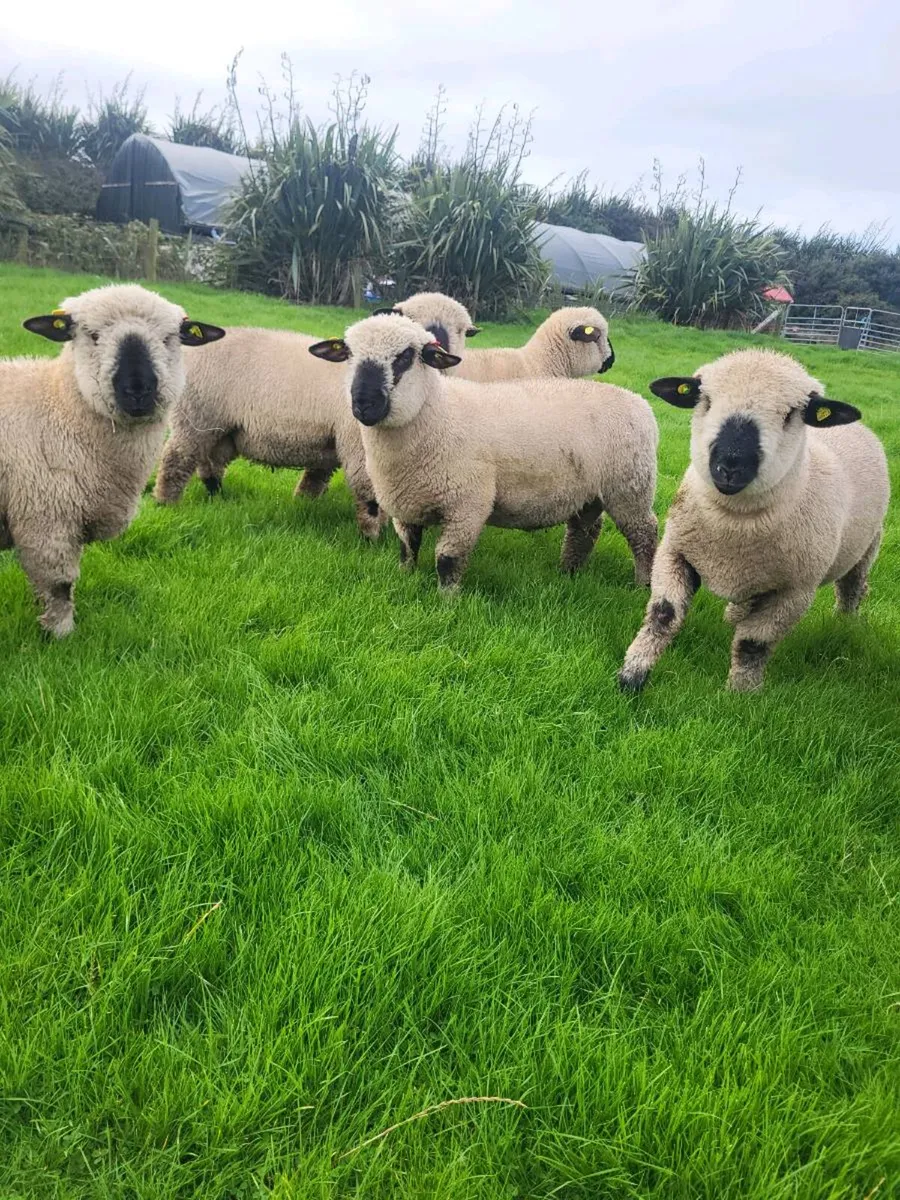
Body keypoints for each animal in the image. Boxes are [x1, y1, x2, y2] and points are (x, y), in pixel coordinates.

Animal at [1, 283, 225, 637]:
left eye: (168, 338)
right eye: (92, 335)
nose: (138, 390)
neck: (57, 409)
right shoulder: (46, 518)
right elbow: (60, 585)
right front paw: (60, 633)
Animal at [152, 326, 385, 540]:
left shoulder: (331, 441)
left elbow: (314, 480)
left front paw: (302, 503)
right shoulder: (357, 444)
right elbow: (369, 494)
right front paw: (373, 539)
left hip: (217, 428)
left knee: (208, 463)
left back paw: (215, 495)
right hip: (195, 417)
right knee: (176, 460)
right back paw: (166, 504)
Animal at [308, 314, 658, 591]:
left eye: (406, 356)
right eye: (348, 354)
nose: (363, 404)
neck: (437, 414)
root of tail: (639, 403)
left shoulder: (468, 505)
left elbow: (447, 559)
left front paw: (447, 600)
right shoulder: (405, 503)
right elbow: (408, 548)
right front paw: (405, 578)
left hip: (630, 490)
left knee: (645, 535)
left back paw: (642, 585)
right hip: (591, 493)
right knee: (583, 531)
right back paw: (569, 573)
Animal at [618, 348, 890, 693]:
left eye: (791, 414)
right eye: (705, 399)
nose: (731, 464)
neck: (733, 528)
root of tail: (859, 427)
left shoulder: (794, 592)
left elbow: (753, 643)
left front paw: (740, 694)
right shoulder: (675, 552)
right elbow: (663, 614)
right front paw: (632, 675)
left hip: (867, 546)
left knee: (852, 589)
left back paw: (846, 626)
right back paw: (733, 614)